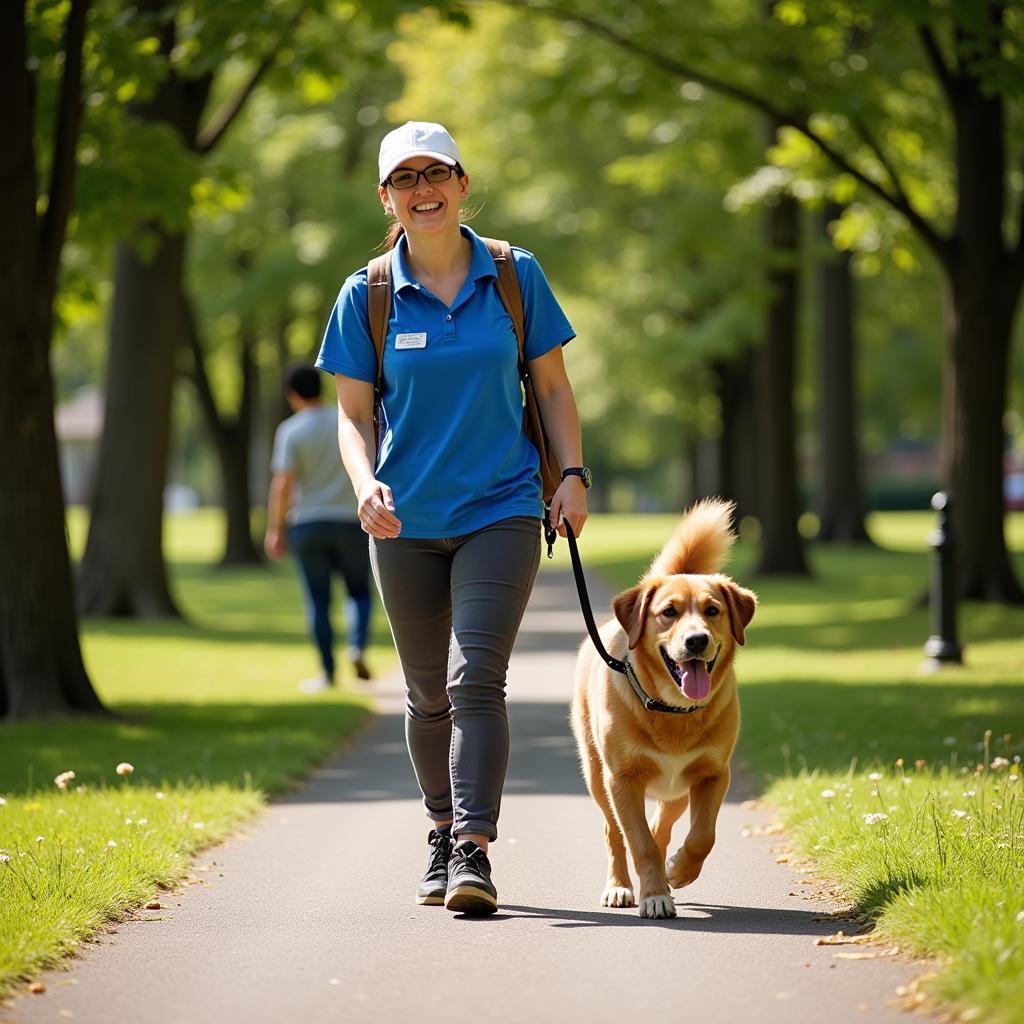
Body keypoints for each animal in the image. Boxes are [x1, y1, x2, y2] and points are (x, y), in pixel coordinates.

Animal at [573, 501, 757, 921]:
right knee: (615, 833)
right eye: (669, 612)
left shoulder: (712, 774)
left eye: (712, 610)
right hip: (596, 776)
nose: (697, 640)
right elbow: (637, 841)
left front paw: (677, 870)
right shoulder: (622, 780)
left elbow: (703, 835)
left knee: (661, 825)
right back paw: (621, 886)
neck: (674, 710)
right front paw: (654, 894)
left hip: (676, 792)